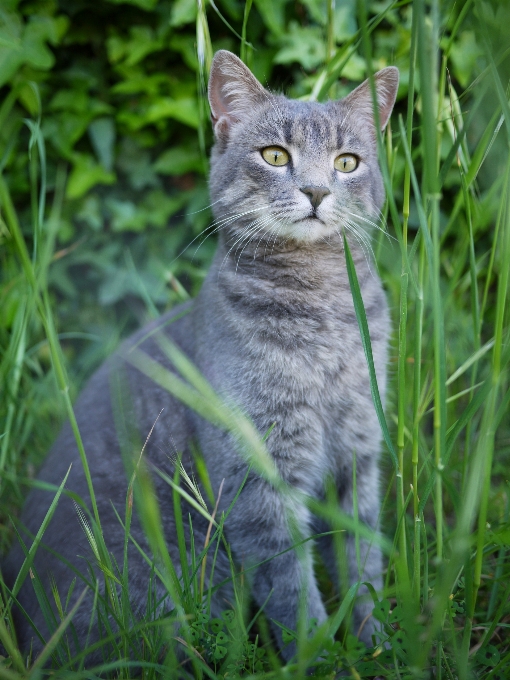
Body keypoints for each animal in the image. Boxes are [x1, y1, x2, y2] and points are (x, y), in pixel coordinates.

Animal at [2, 51, 398, 664]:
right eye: (275, 155)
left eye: (347, 162)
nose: (315, 191)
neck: (322, 306)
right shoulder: (257, 482)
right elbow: (292, 589)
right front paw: (321, 660)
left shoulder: (358, 457)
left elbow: (364, 566)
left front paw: (375, 647)